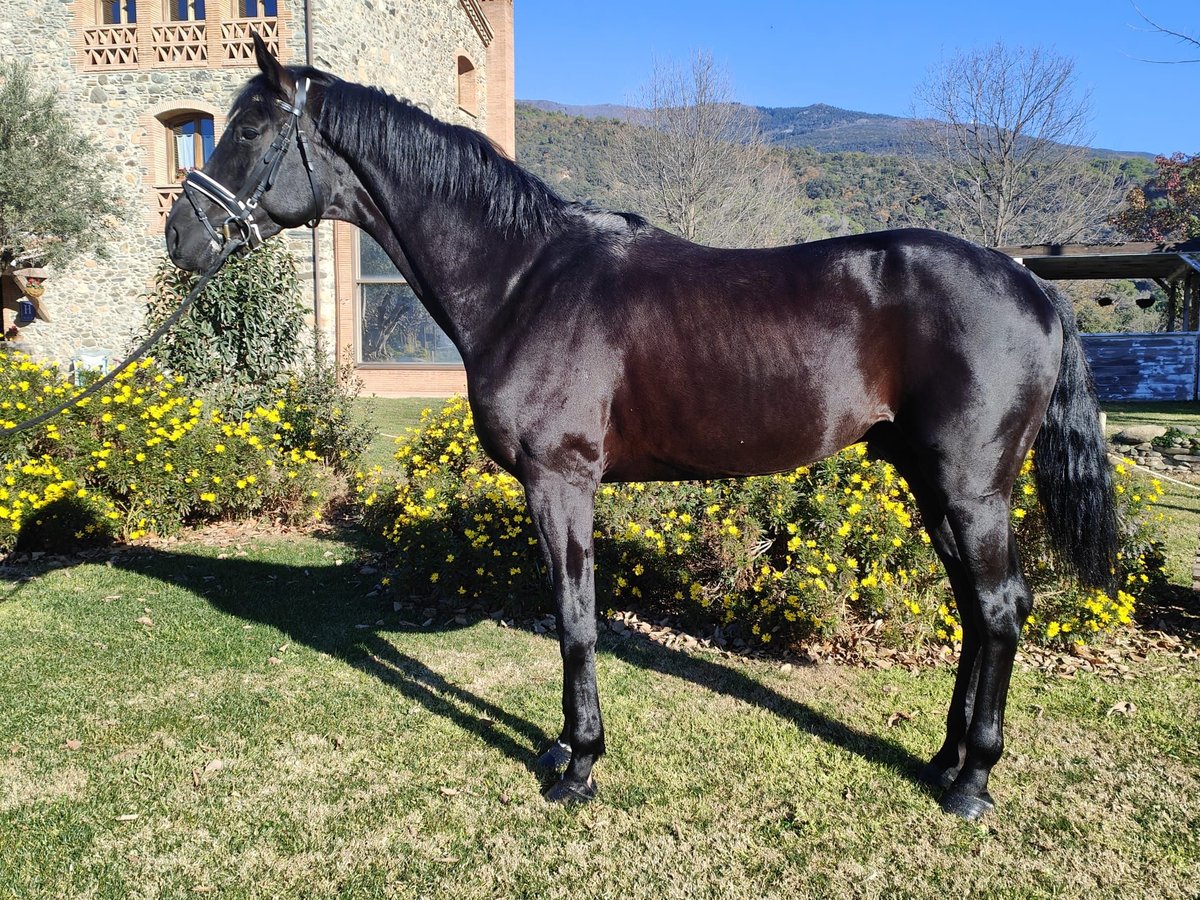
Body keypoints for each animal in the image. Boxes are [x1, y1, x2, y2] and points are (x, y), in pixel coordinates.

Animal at [166, 37, 1113, 825]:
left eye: (249, 129)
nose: (181, 238)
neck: (523, 278)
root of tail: (1029, 283)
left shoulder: (561, 483)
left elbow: (576, 619)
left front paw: (578, 767)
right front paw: (566, 749)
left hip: (972, 484)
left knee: (999, 609)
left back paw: (972, 783)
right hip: (930, 479)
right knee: (976, 611)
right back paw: (943, 759)